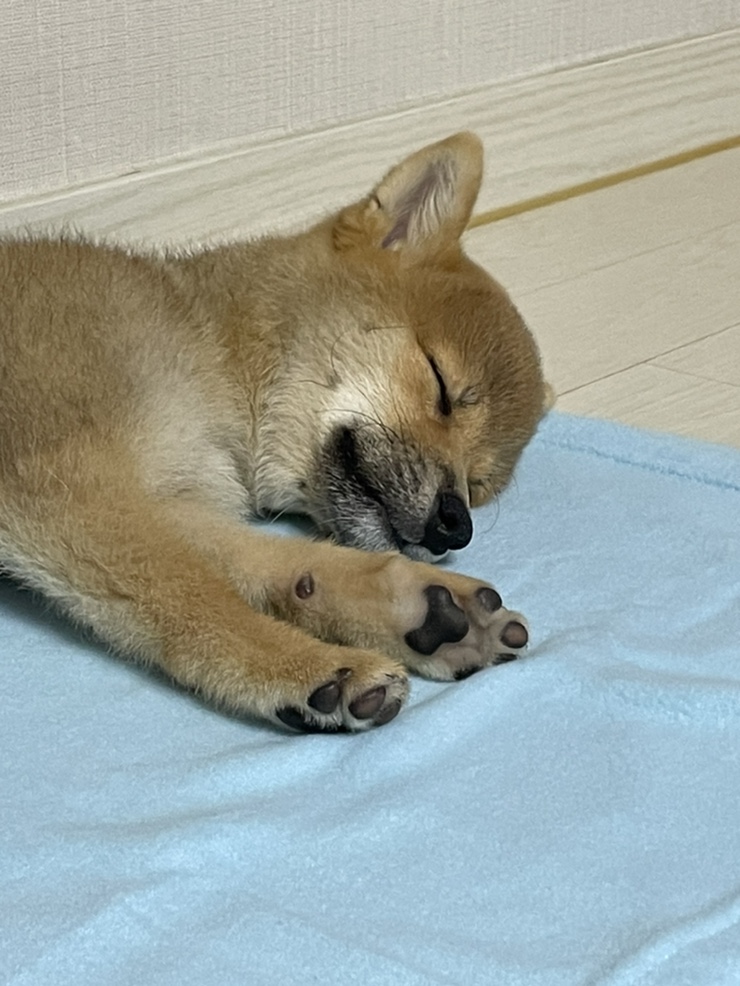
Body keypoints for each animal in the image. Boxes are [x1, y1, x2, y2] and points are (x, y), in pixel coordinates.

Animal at [0, 132, 547, 733]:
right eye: (440, 384)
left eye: (478, 484)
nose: (456, 525)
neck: (207, 345)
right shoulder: (69, 487)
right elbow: (199, 600)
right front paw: (308, 665)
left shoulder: (161, 499)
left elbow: (271, 563)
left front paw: (419, 605)